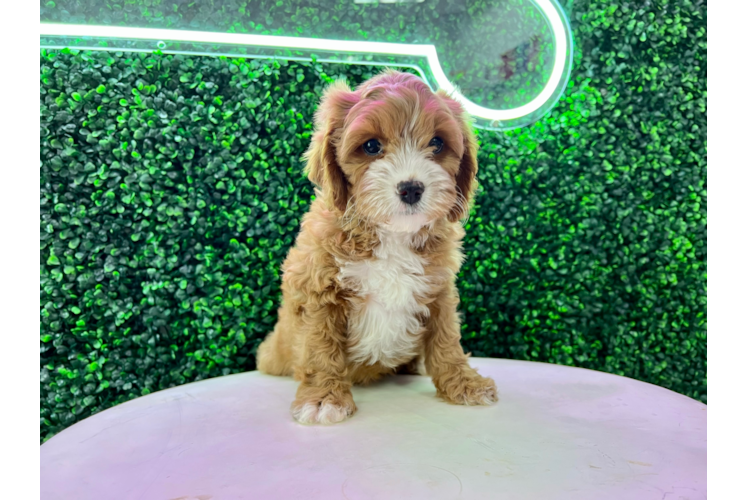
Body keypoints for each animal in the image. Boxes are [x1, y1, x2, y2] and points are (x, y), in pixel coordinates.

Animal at [258, 68, 496, 424]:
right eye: (371, 146)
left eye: (437, 143)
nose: (411, 188)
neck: (391, 235)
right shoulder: (317, 289)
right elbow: (320, 348)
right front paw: (323, 399)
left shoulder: (439, 287)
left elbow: (446, 339)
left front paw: (464, 383)